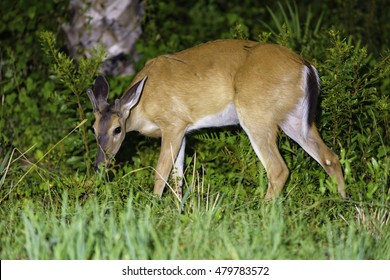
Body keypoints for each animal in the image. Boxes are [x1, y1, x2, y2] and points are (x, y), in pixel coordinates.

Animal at [87, 40, 346, 201]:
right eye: (93, 128)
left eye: (117, 129)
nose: (99, 165)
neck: (143, 104)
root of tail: (307, 67)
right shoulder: (183, 130)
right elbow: (178, 176)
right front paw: (178, 211)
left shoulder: (173, 122)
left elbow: (161, 172)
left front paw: (153, 211)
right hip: (295, 119)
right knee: (330, 158)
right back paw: (343, 204)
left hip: (257, 115)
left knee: (278, 169)